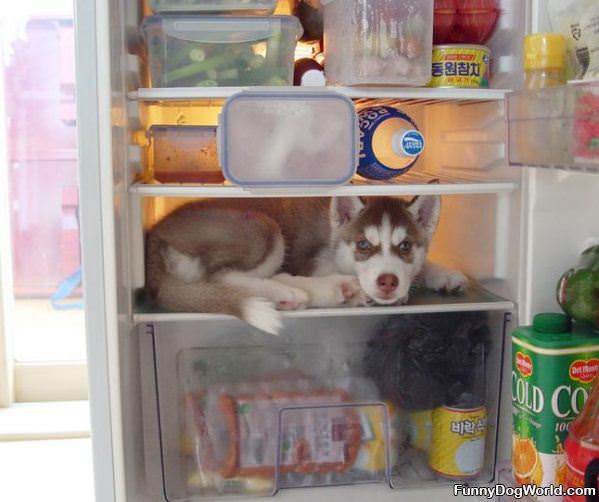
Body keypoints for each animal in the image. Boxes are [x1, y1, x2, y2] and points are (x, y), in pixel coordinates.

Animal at [145, 196, 468, 334]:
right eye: (363, 245)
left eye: (406, 247)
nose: (387, 282)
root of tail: (155, 234)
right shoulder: (314, 260)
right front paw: (359, 290)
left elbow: (422, 265)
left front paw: (446, 274)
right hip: (264, 228)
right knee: (222, 276)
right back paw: (304, 291)